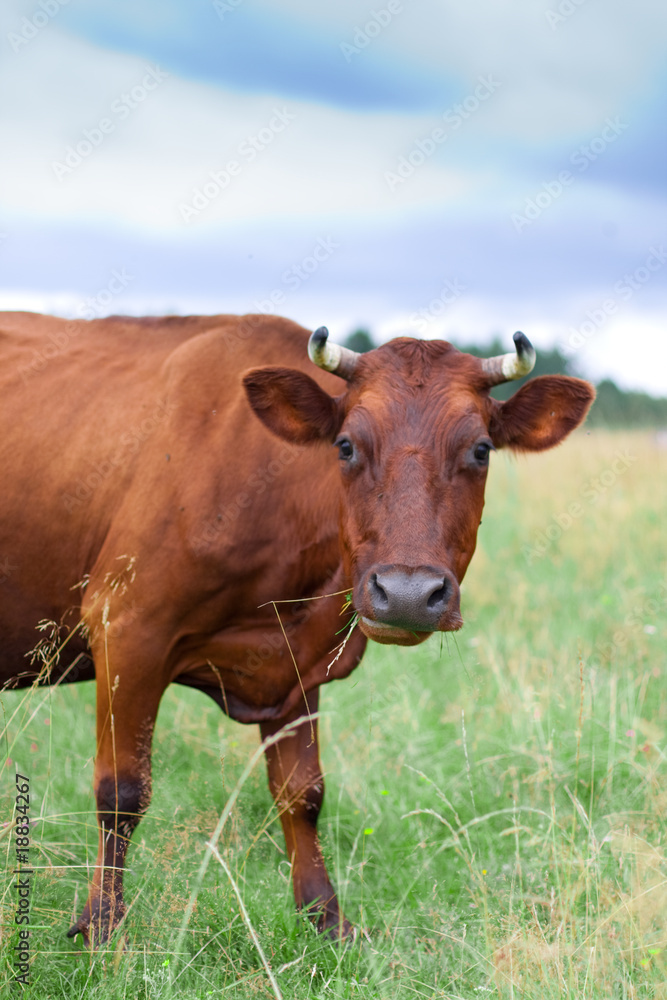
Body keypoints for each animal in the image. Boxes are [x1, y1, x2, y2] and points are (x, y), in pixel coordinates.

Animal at [0, 312, 596, 944]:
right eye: (346, 445)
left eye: (481, 449)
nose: (409, 594)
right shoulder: (126, 626)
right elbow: (122, 791)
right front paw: (100, 928)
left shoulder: (297, 665)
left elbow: (302, 795)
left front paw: (325, 917)